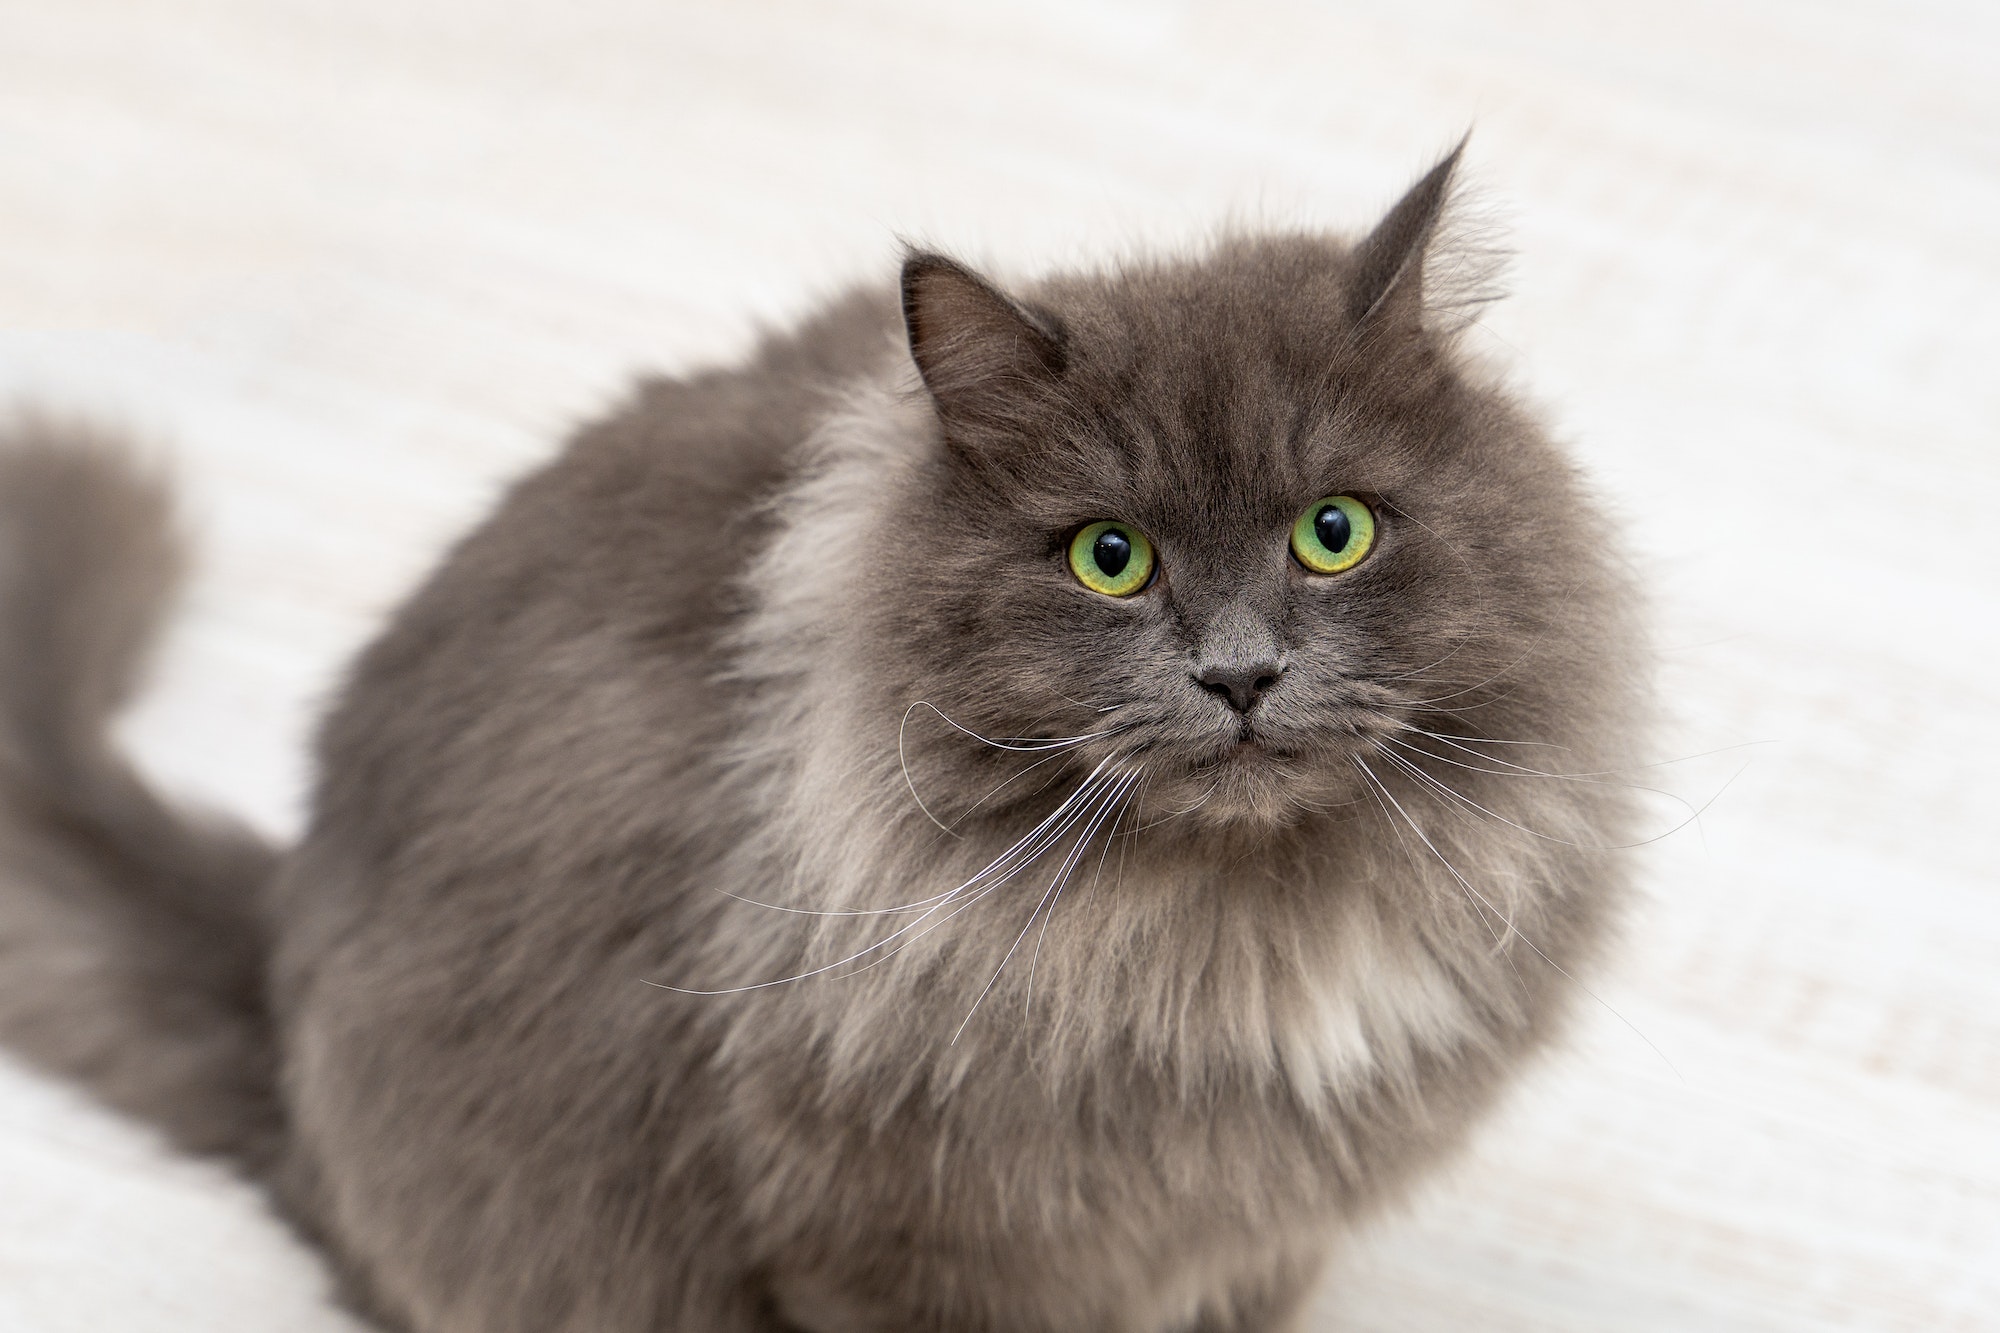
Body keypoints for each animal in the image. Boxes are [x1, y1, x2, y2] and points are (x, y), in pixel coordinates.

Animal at [0, 150, 1640, 1320]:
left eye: (1332, 532)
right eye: (1108, 558)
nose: (1238, 674)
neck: (1216, 944)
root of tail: (273, 963)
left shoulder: (1253, 1243)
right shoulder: (887, 1238)